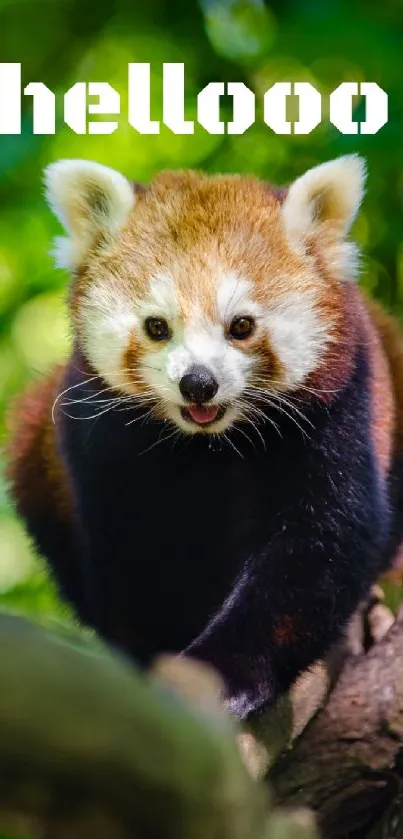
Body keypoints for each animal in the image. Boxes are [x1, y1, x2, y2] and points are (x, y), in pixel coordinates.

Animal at [5, 154, 403, 720]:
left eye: (241, 326)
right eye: (157, 327)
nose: (198, 382)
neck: (210, 445)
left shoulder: (338, 410)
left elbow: (319, 544)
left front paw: (223, 675)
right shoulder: (100, 442)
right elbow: (131, 557)